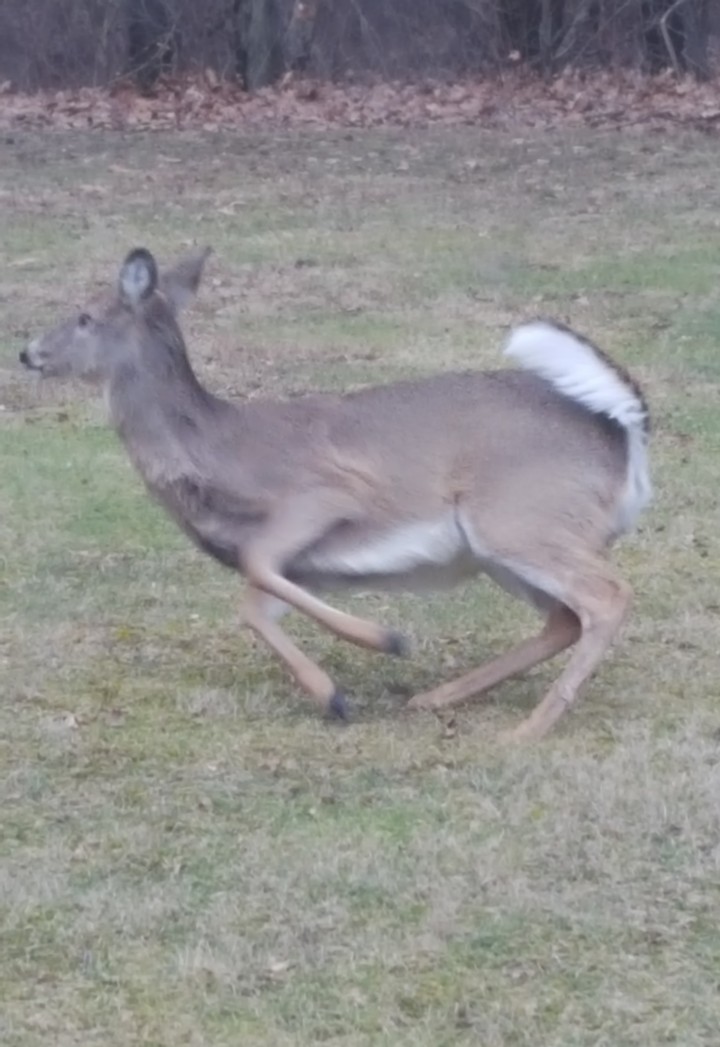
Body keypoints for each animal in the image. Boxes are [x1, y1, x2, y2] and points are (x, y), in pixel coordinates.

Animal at [20, 247, 652, 739]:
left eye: (84, 316)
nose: (28, 352)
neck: (215, 455)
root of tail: (623, 432)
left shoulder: (325, 496)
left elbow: (252, 579)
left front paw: (383, 643)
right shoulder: (299, 561)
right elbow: (255, 604)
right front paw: (336, 693)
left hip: (521, 519)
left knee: (608, 596)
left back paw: (527, 728)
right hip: (504, 547)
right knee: (564, 619)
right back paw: (436, 698)